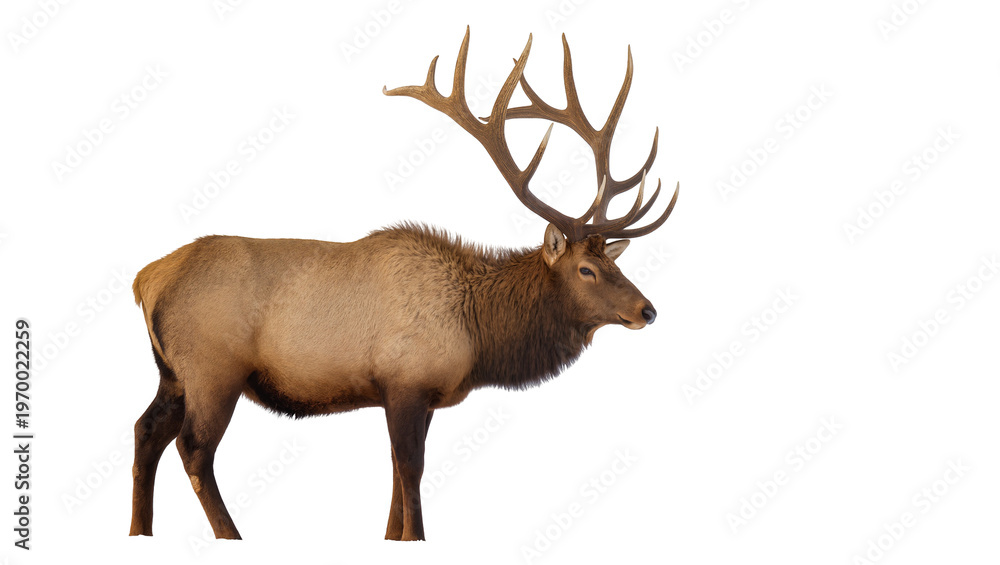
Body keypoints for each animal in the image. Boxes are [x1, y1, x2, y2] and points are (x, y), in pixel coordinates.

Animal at [128, 28, 678, 542]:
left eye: (613, 262)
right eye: (586, 269)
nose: (648, 310)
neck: (478, 333)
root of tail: (145, 278)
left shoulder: (420, 395)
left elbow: (397, 475)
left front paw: (393, 537)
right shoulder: (405, 382)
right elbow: (410, 470)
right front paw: (414, 536)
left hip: (172, 372)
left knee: (145, 431)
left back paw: (140, 530)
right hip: (213, 369)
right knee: (193, 450)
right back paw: (231, 534)